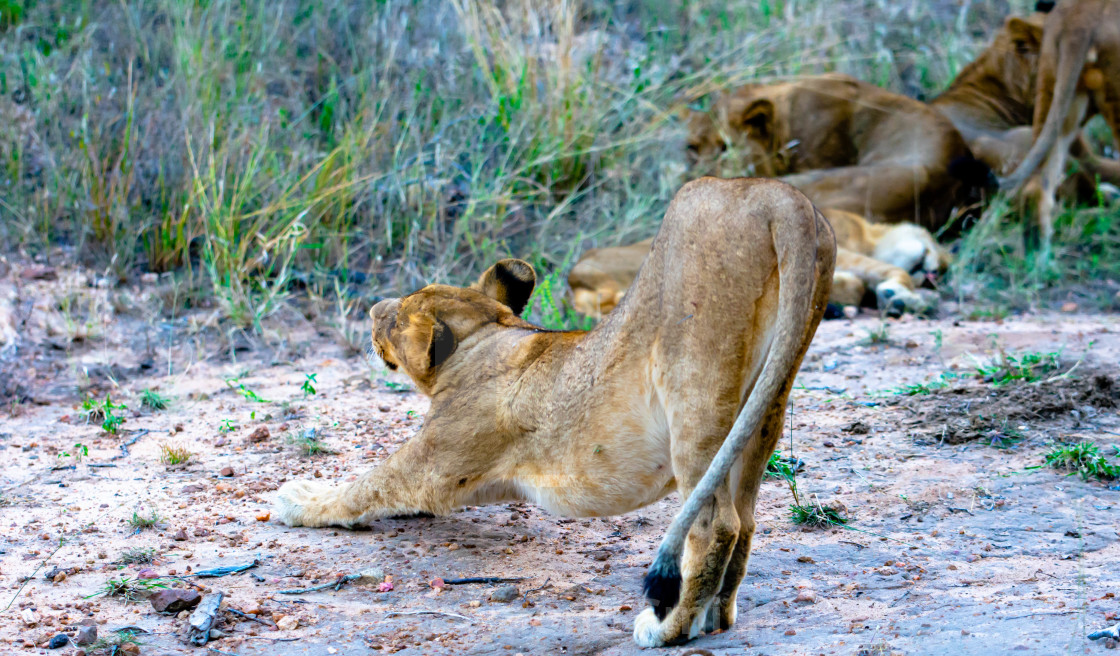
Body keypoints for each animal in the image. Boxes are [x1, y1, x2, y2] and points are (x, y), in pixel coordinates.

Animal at [273, 177, 833, 644]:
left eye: (395, 319)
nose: (370, 310)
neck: (488, 337)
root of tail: (780, 197)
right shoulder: (468, 479)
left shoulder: (433, 463)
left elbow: (365, 485)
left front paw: (296, 498)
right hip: (768, 400)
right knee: (748, 517)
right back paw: (715, 618)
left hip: (693, 387)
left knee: (716, 524)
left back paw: (669, 628)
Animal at [573, 203, 949, 315]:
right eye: (933, 247)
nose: (937, 274)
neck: (869, 232)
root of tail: (574, 277)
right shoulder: (837, 244)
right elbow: (892, 270)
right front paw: (904, 297)